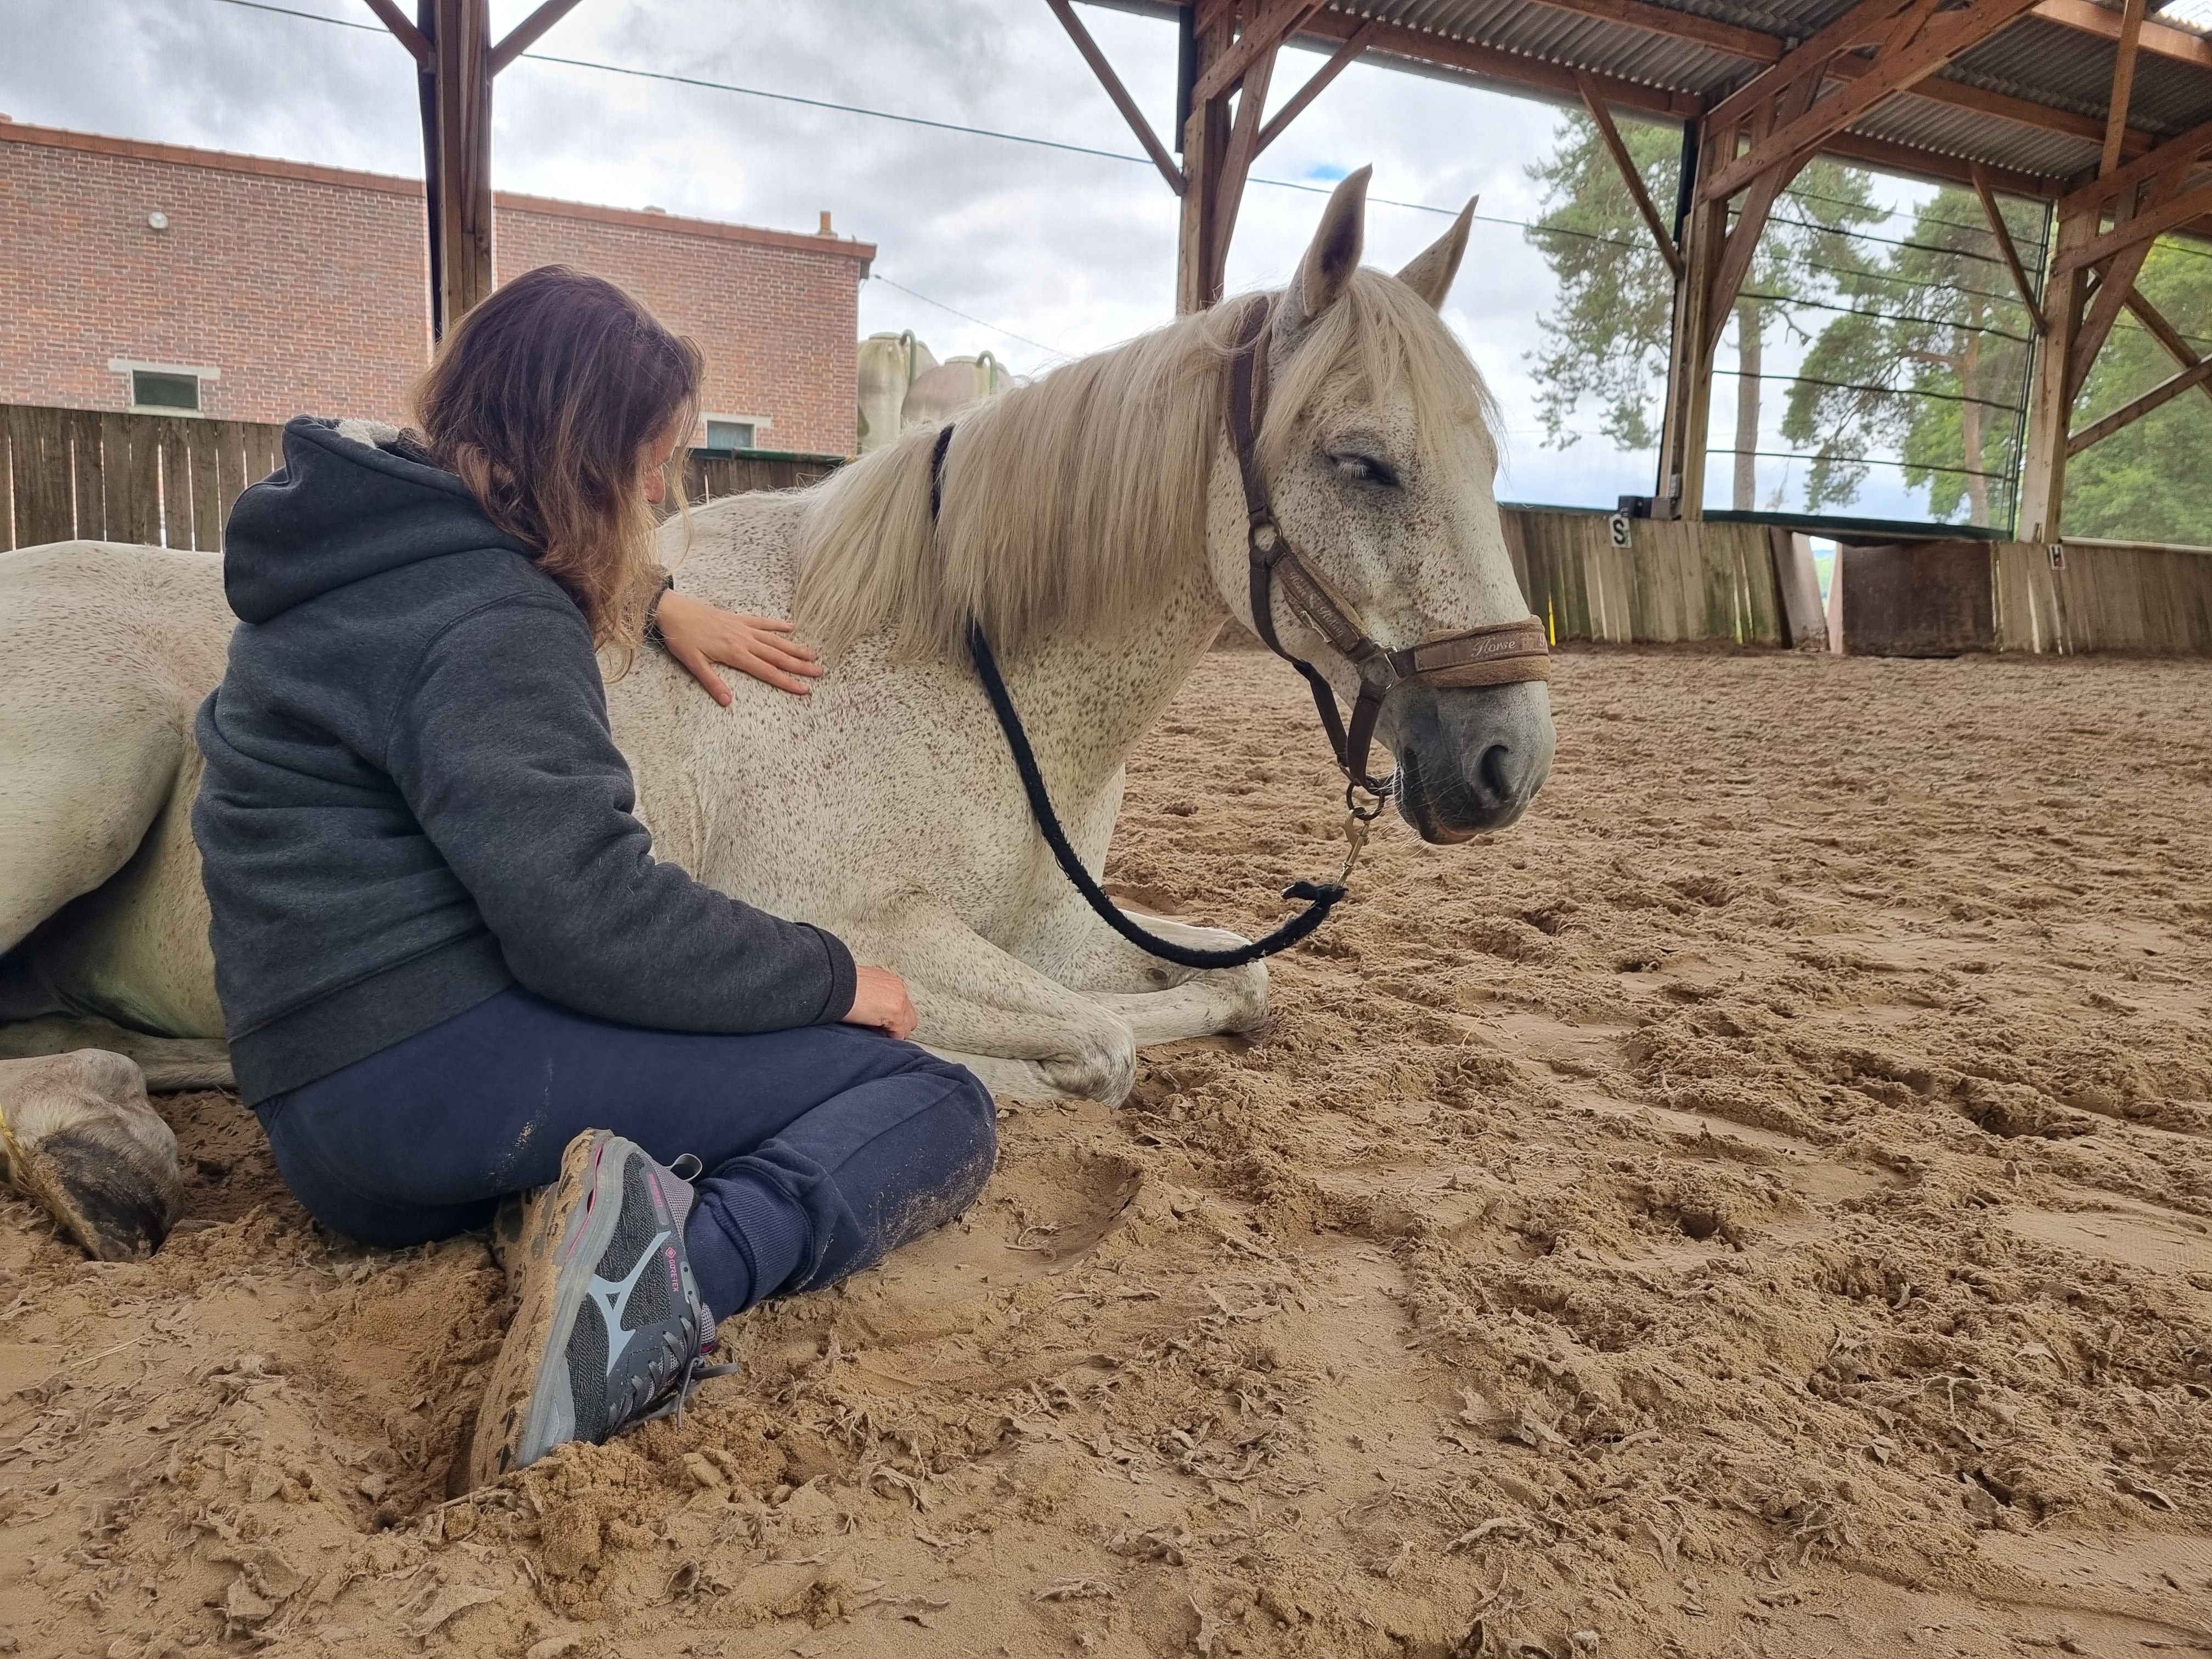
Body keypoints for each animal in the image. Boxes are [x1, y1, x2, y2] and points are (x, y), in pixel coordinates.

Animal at [0, 172, 1557, 1256]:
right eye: (1362, 462)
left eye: (1489, 456)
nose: (1508, 762)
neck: (940, 664)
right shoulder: (851, 929)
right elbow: (1094, 1048)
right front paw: (994, 1060)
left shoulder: (1051, 930)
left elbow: (1234, 991)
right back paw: (93, 1150)